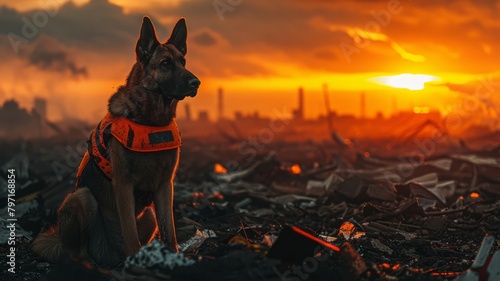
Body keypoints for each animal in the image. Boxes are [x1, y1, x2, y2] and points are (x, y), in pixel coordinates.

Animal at [32, 16, 200, 266]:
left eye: (183, 61)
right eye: (165, 64)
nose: (196, 83)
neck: (151, 121)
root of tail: (109, 252)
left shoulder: (165, 185)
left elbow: (170, 231)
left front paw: (174, 258)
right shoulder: (124, 184)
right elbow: (130, 232)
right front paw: (136, 260)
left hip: (149, 214)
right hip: (81, 197)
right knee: (78, 253)